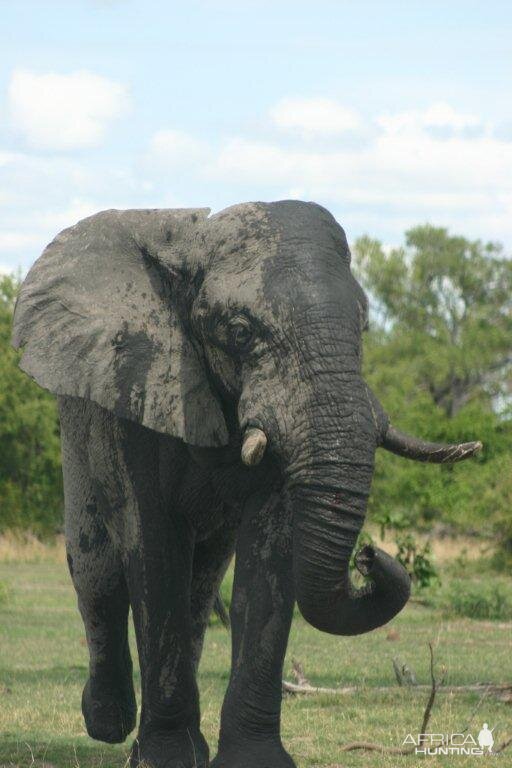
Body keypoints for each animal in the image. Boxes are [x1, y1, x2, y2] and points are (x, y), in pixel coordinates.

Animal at [12, 201, 482, 764]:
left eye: (365, 326)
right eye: (239, 332)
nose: (370, 556)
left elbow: (266, 571)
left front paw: (253, 759)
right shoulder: (140, 390)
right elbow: (154, 556)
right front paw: (165, 758)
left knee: (200, 586)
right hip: (79, 419)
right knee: (96, 567)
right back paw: (108, 722)